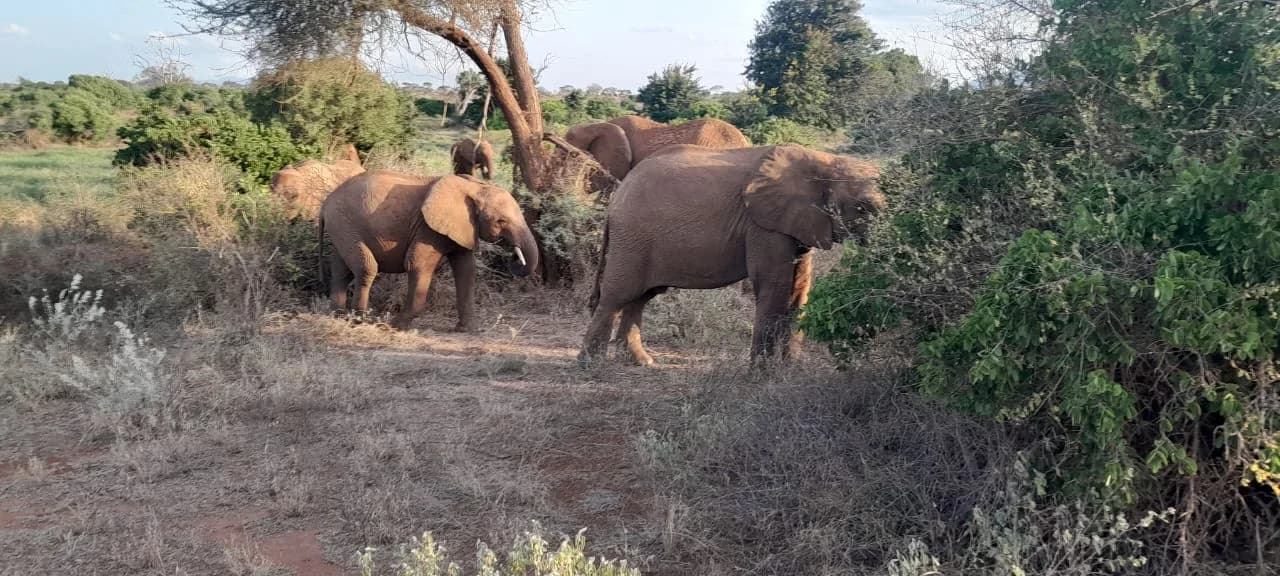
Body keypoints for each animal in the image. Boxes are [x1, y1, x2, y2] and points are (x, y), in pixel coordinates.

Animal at [318, 171, 539, 331]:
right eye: (501, 221)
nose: (514, 258)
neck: (474, 187)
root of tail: (325, 203)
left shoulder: (461, 228)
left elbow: (466, 270)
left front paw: (467, 330)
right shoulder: (427, 229)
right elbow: (417, 264)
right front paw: (395, 327)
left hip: (342, 228)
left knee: (341, 271)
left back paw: (338, 316)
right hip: (344, 224)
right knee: (367, 268)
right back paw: (360, 320)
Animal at [578, 144, 885, 367]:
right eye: (864, 207)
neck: (823, 159)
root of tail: (616, 197)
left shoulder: (796, 224)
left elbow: (800, 288)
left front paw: (793, 370)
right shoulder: (763, 224)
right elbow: (774, 285)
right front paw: (761, 373)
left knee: (641, 297)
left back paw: (643, 362)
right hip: (632, 237)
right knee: (617, 296)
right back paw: (591, 365)